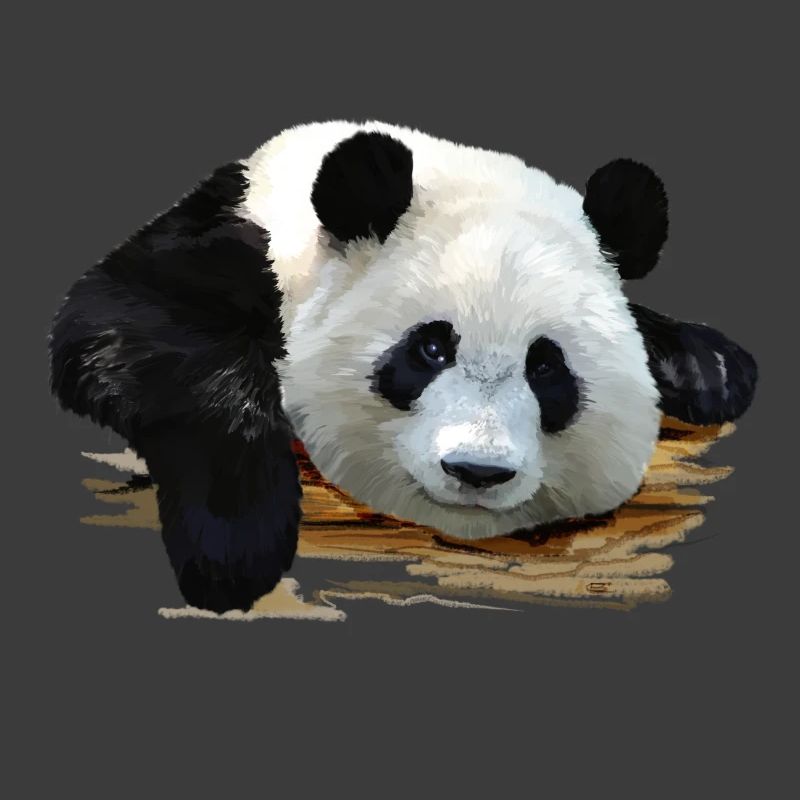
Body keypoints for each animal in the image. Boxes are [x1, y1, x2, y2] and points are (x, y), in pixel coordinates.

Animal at [49, 120, 758, 613]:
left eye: (546, 368)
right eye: (431, 349)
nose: (477, 471)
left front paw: (713, 367)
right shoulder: (226, 242)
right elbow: (125, 329)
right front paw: (233, 547)